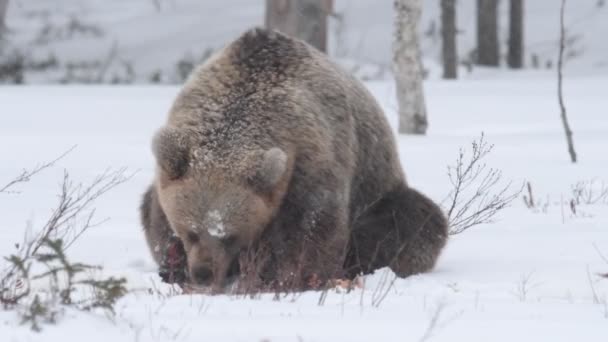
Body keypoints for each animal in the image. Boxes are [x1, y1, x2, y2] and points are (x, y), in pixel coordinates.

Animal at [140, 28, 448, 292]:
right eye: (191, 232)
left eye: (230, 236)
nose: (204, 273)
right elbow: (155, 215)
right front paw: (173, 264)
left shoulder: (311, 159)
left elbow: (310, 229)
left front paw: (285, 277)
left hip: (379, 191)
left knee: (414, 221)